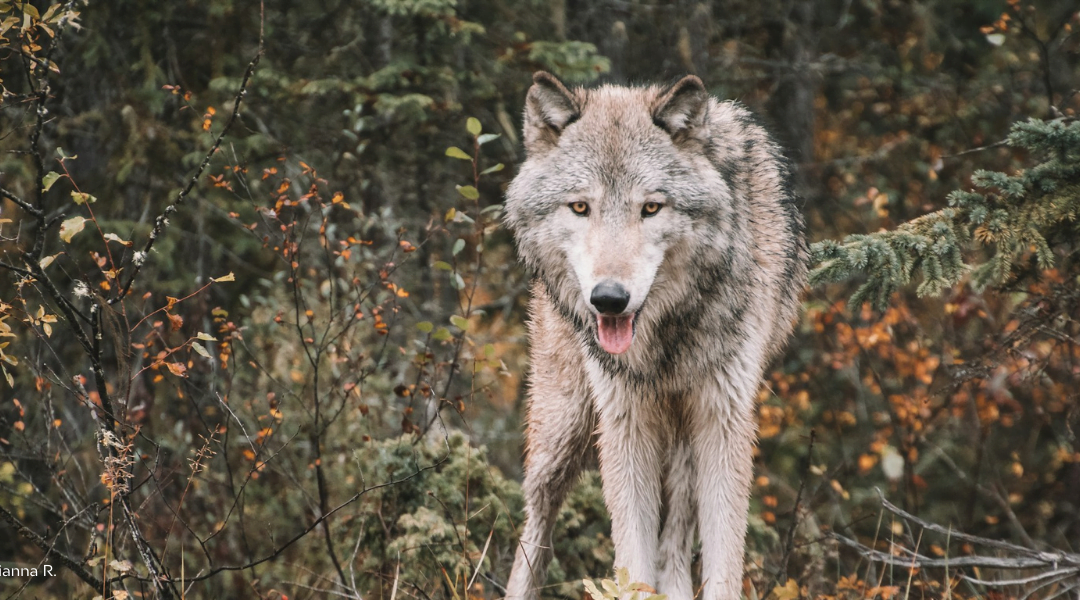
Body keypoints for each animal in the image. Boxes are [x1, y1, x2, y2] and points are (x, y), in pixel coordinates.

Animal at [501, 73, 807, 600]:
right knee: (536, 522)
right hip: (563, 430)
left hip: (681, 441)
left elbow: (721, 558)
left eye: (651, 207)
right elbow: (631, 556)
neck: (666, 338)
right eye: (580, 206)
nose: (609, 298)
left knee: (676, 540)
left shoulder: (723, 416)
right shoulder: (625, 420)